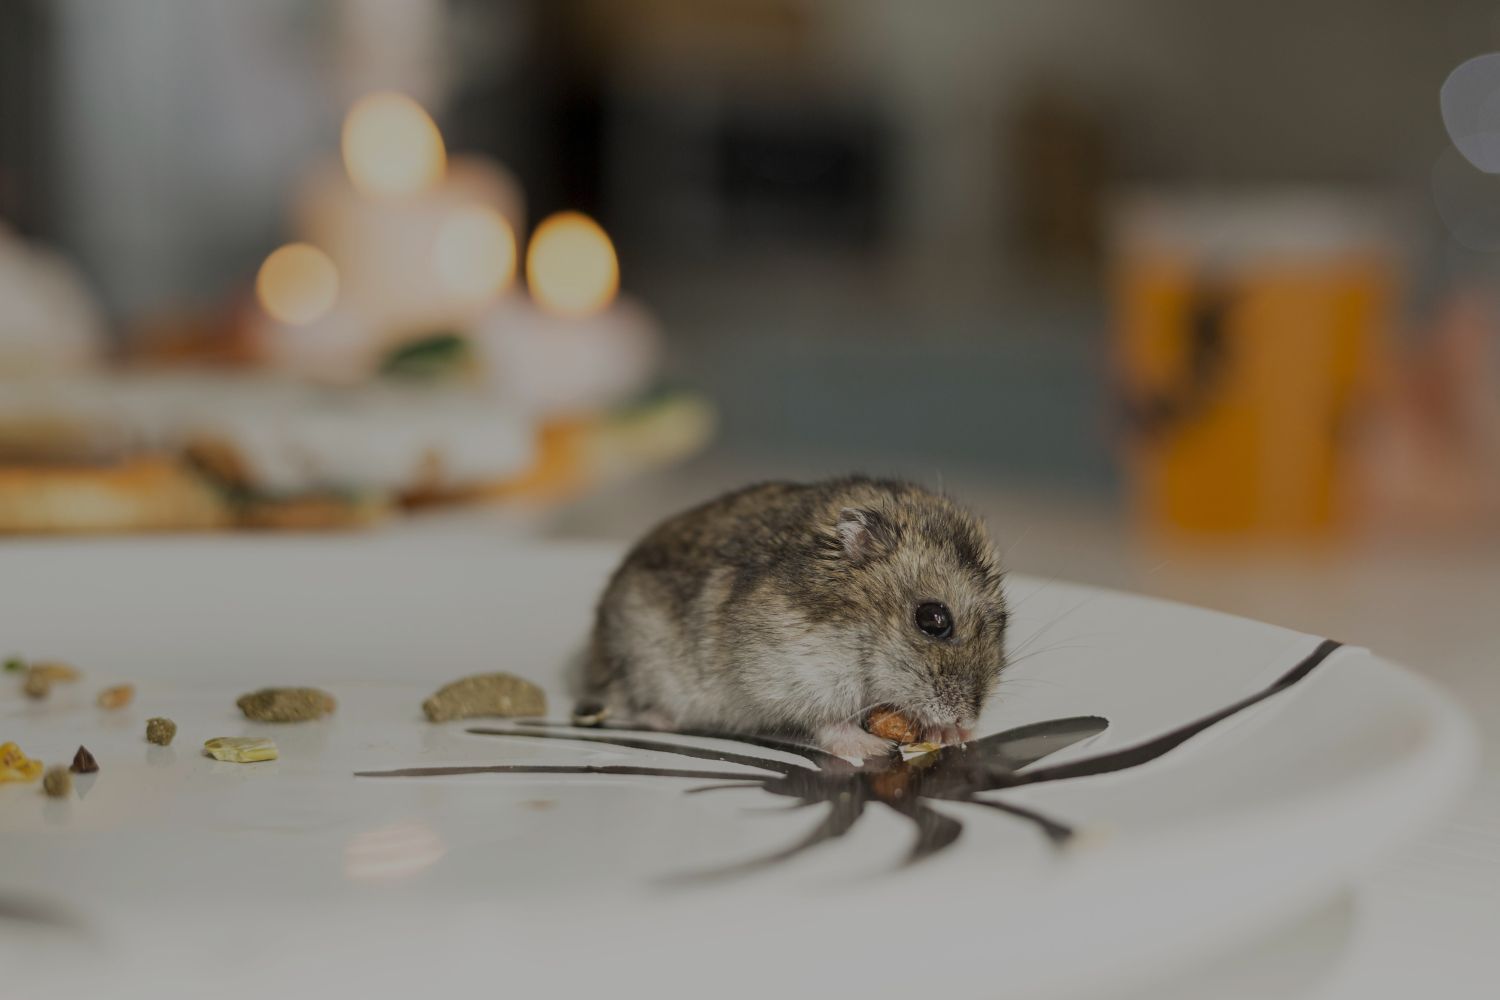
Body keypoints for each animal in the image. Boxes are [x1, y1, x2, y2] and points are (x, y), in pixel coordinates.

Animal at [579, 477, 1009, 760]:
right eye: (933, 619)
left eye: (1003, 623)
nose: (969, 716)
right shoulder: (795, 674)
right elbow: (828, 720)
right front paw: (872, 748)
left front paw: (953, 734)